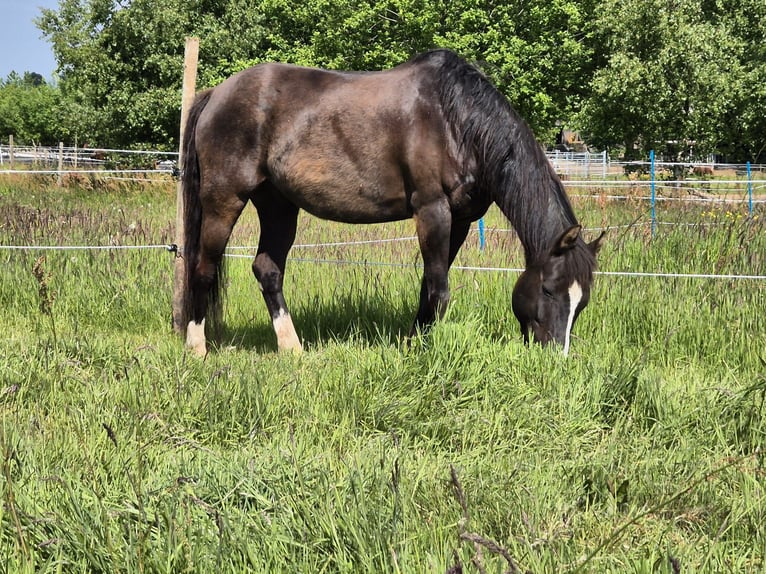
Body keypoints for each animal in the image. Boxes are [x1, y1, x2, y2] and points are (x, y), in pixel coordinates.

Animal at [180, 49, 604, 357]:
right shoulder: (432, 209)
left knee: (268, 270)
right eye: (548, 290)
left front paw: (415, 341)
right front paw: (426, 353)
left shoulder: (461, 220)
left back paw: (292, 348)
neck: (456, 121)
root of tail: (215, 95)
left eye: (582, 303)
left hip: (278, 206)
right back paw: (197, 348)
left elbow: (429, 286)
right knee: (203, 267)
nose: (555, 355)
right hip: (224, 200)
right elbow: (439, 290)